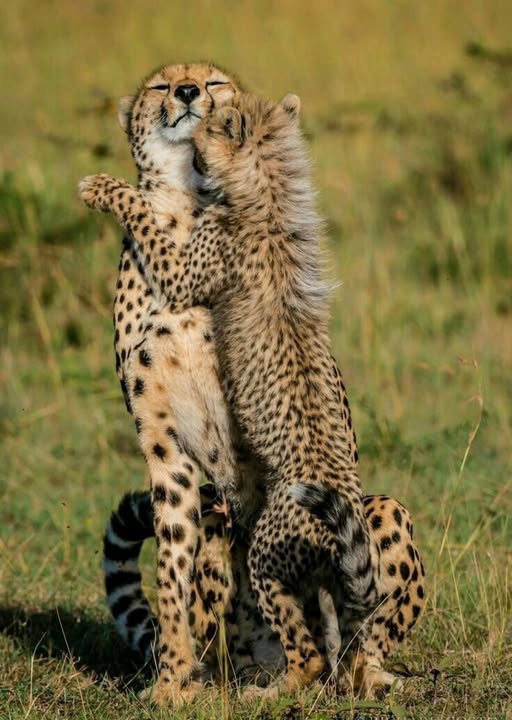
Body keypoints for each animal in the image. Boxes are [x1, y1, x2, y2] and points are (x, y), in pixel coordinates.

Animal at [79, 91, 379, 698]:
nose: (193, 98)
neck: (270, 187)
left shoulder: (186, 269)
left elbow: (145, 219)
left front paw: (102, 187)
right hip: (336, 592)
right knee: (346, 641)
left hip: (268, 552)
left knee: (308, 653)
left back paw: (272, 689)